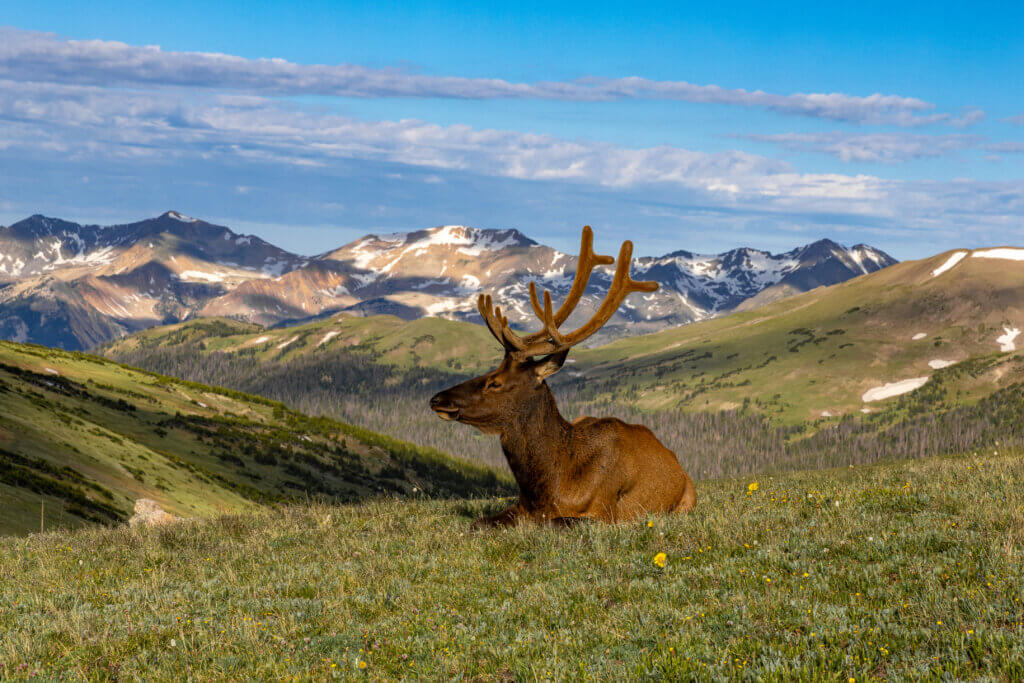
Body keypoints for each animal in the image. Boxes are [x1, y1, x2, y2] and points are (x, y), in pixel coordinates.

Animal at [430, 226, 696, 528]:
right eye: (489, 371)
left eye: (495, 382)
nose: (437, 399)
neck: (551, 485)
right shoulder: (519, 506)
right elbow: (479, 523)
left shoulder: (603, 513)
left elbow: (552, 522)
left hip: (686, 501)